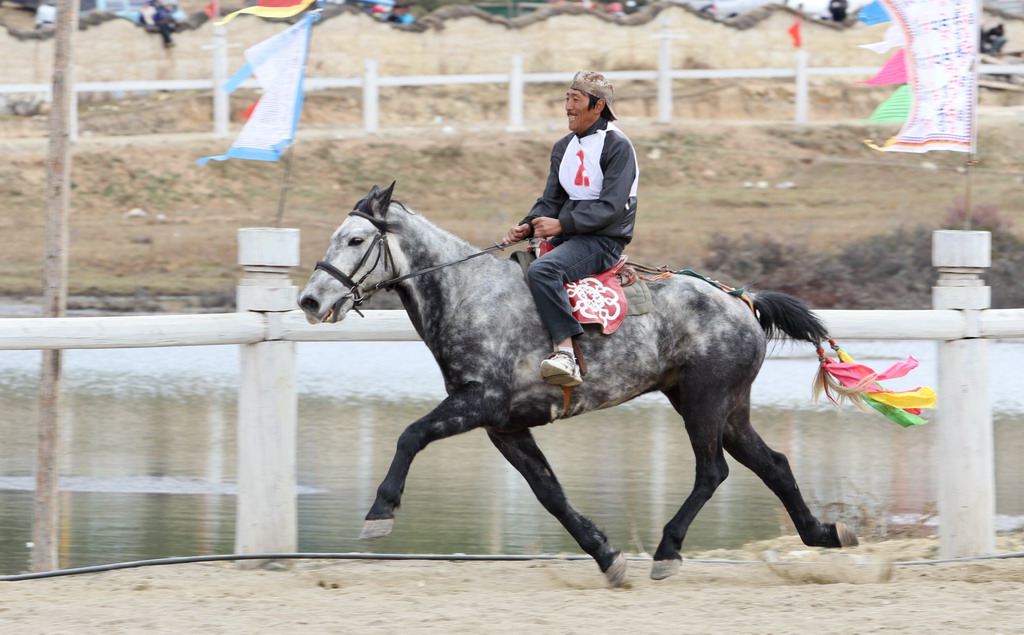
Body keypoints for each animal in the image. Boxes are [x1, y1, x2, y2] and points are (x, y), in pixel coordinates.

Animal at [299, 182, 860, 585]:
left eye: (355, 239)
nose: (310, 299)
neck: (468, 295)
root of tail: (742, 300)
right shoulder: (505, 427)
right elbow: (550, 492)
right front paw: (606, 554)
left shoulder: (478, 403)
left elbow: (410, 436)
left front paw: (380, 512)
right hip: (724, 407)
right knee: (774, 464)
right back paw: (825, 533)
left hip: (706, 402)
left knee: (712, 471)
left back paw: (668, 549)